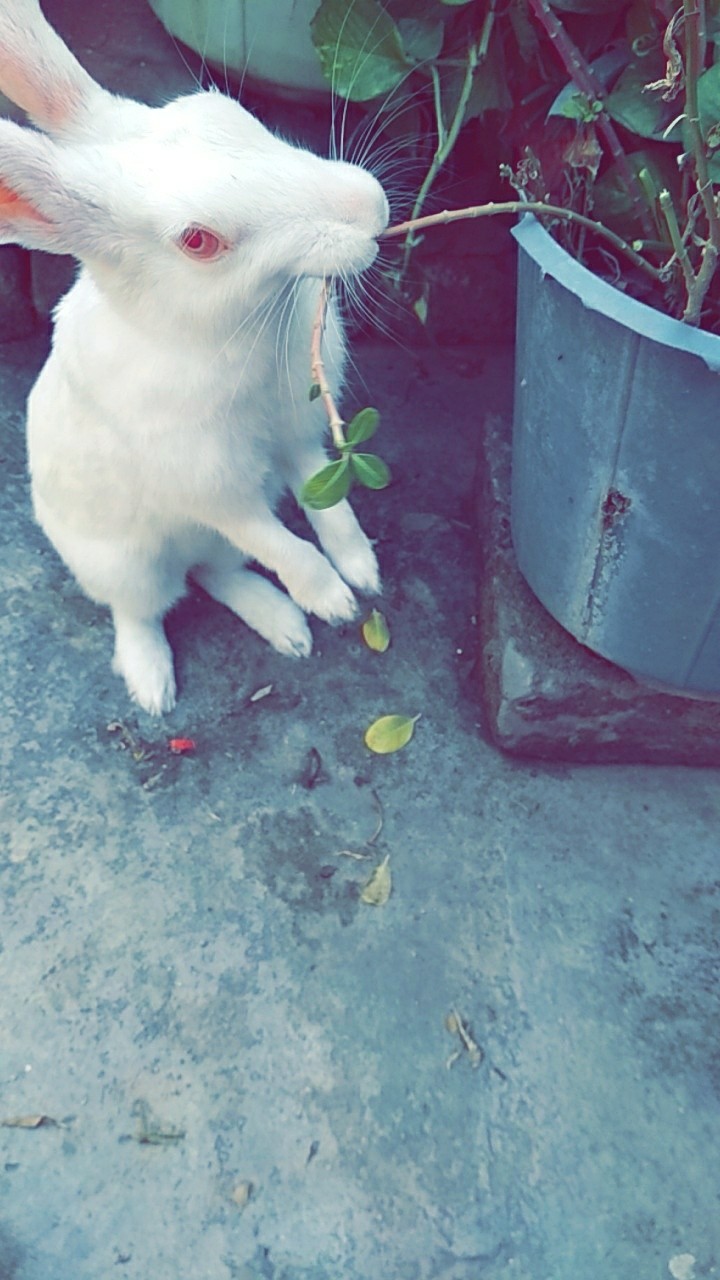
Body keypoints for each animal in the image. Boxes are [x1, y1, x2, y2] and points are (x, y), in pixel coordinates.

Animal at [0, 0, 388, 714]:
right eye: (199, 241)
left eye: (226, 110)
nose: (370, 207)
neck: (219, 333)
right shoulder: (214, 490)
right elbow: (282, 543)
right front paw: (335, 602)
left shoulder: (296, 438)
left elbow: (329, 509)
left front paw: (362, 572)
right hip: (126, 563)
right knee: (145, 607)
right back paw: (154, 686)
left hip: (202, 544)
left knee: (216, 570)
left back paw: (285, 627)